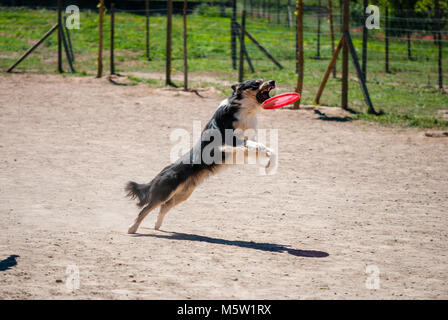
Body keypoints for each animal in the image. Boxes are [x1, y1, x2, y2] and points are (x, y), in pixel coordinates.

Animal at [125, 79, 276, 234]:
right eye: (257, 82)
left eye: (263, 80)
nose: (273, 81)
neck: (243, 108)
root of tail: (161, 173)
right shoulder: (228, 141)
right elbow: (258, 146)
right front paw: (267, 160)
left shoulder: (244, 145)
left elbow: (266, 149)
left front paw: (270, 165)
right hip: (165, 192)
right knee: (146, 209)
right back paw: (132, 228)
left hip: (183, 194)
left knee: (164, 206)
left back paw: (157, 226)